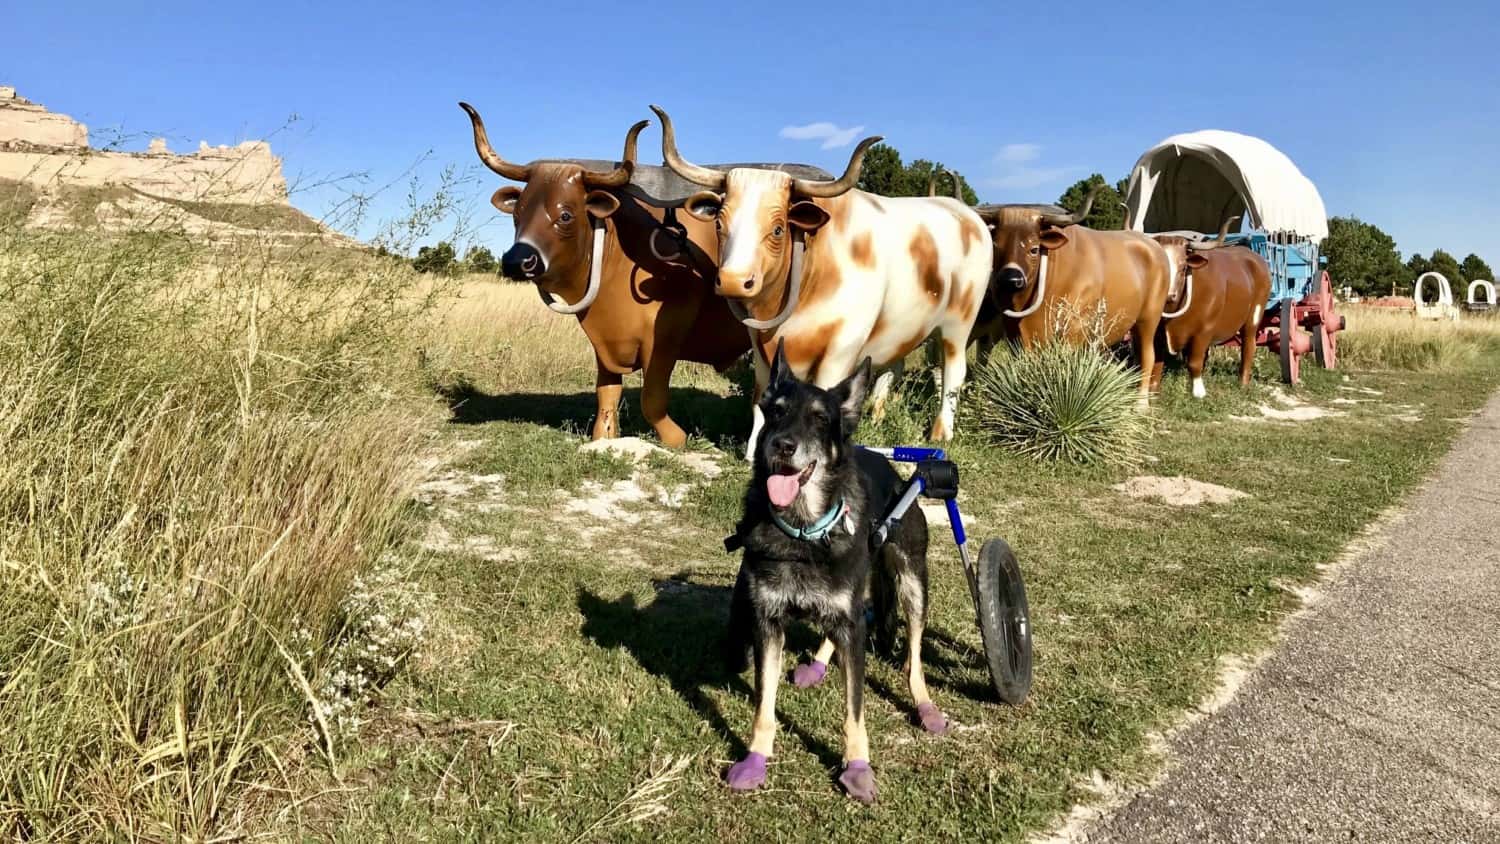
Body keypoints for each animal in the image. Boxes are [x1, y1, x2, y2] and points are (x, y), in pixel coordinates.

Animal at [723, 343, 948, 803]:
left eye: (820, 419)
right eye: (775, 412)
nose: (782, 446)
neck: (803, 531)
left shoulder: (852, 623)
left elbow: (854, 709)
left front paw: (857, 767)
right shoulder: (768, 623)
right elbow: (764, 704)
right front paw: (755, 759)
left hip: (913, 582)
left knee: (914, 658)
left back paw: (925, 706)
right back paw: (818, 665)